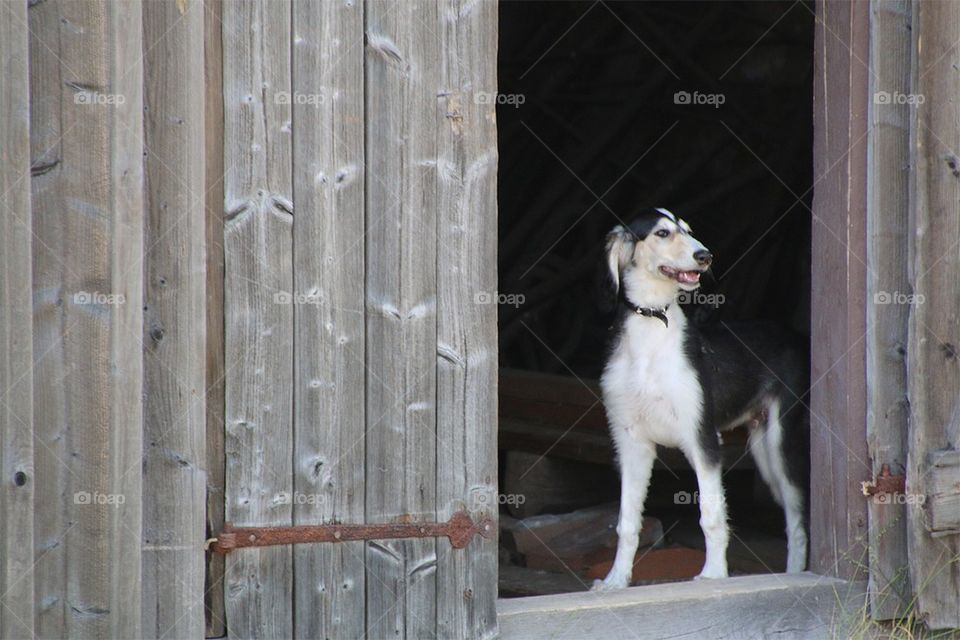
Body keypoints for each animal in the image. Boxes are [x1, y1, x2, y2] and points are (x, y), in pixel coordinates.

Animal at [588, 209, 808, 592]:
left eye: (689, 231)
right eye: (663, 233)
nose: (705, 256)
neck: (652, 329)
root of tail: (791, 333)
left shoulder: (702, 439)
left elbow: (711, 515)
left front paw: (714, 575)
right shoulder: (631, 444)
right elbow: (627, 523)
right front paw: (616, 581)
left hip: (781, 441)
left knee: (797, 518)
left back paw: (797, 576)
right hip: (763, 449)